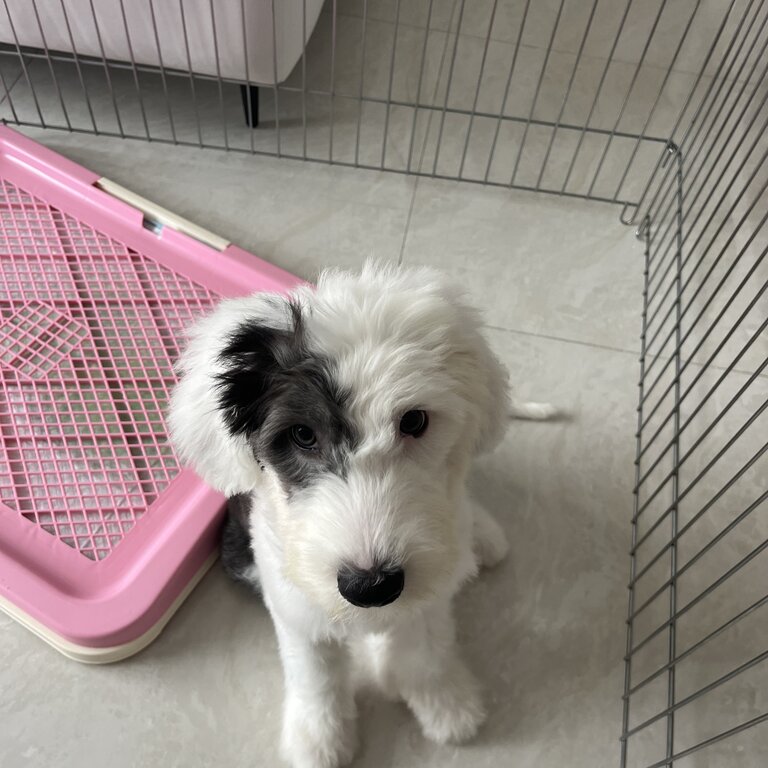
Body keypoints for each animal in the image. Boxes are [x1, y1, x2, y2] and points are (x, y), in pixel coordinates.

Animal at [168, 260, 552, 764]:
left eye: (414, 421)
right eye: (302, 435)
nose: (371, 587)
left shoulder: (427, 594)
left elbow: (427, 649)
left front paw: (444, 703)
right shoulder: (294, 605)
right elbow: (315, 672)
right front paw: (320, 738)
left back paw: (482, 536)